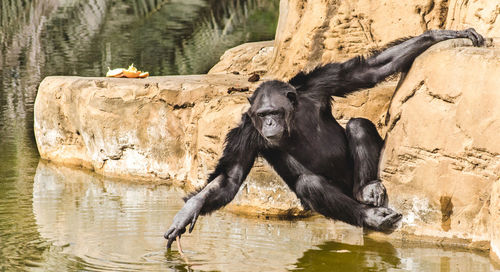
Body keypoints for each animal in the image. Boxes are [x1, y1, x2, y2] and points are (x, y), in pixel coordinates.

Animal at [164, 28, 484, 249]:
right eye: (263, 114)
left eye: (275, 112)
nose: (269, 122)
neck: (292, 118)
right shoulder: (245, 133)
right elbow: (229, 178)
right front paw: (189, 209)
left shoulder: (320, 83)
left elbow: (368, 71)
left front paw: (441, 34)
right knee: (311, 185)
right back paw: (370, 216)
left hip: (353, 180)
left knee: (357, 125)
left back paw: (369, 189)